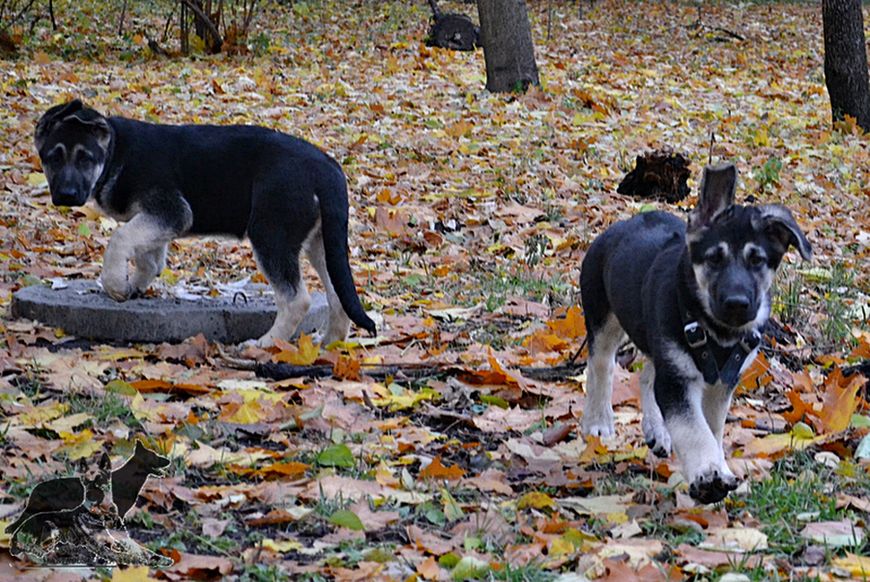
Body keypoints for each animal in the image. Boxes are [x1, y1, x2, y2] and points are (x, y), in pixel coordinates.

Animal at [35, 100, 374, 346]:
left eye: (85, 158)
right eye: (53, 157)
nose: (65, 196)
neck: (116, 152)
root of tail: (327, 170)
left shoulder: (171, 211)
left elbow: (120, 239)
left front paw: (116, 283)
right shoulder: (156, 220)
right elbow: (147, 254)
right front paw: (136, 283)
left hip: (270, 235)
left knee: (297, 300)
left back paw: (266, 344)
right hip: (321, 244)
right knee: (338, 296)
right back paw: (329, 343)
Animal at [584, 164, 816, 506]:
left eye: (757, 260)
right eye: (714, 258)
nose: (737, 304)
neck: (716, 332)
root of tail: (620, 227)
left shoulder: (719, 383)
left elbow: (711, 428)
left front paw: (715, 464)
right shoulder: (678, 380)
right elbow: (694, 428)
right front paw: (708, 473)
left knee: (647, 375)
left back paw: (657, 430)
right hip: (603, 320)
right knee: (600, 366)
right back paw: (598, 421)